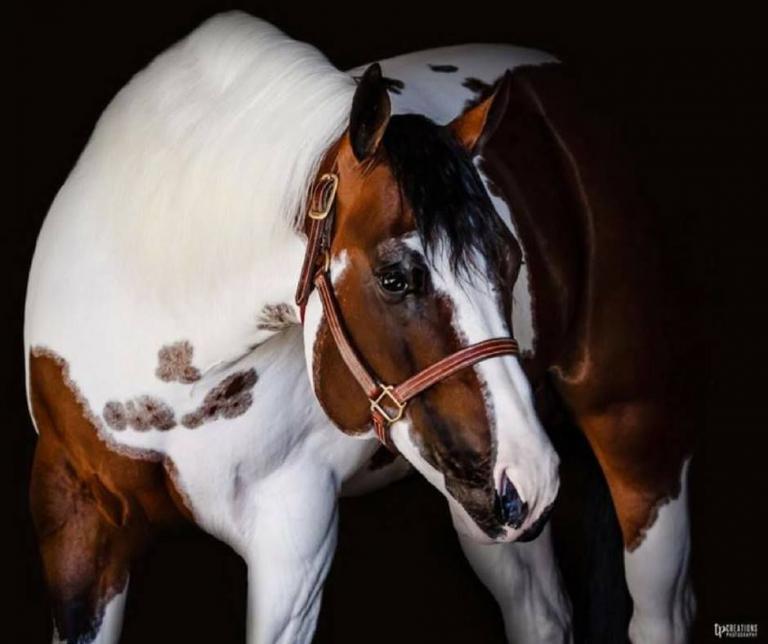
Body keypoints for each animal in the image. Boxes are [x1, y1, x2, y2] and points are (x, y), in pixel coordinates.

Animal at [24, 11, 699, 644]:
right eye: (394, 277)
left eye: (511, 260)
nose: (531, 476)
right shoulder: (77, 522)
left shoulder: (293, 533)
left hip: (633, 427)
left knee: (658, 613)